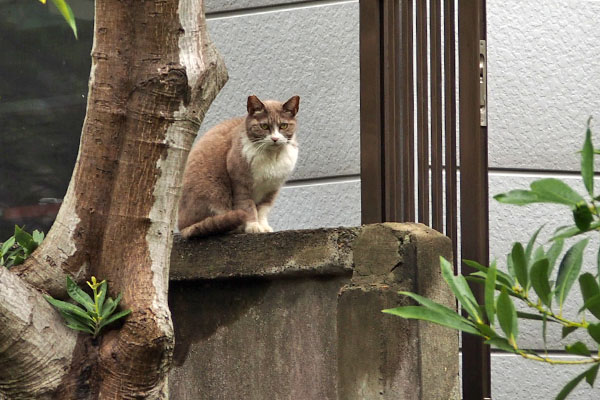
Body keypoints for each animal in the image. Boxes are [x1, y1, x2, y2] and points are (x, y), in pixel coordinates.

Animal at [177, 94, 300, 238]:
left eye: (284, 126)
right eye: (264, 126)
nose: (275, 139)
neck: (271, 158)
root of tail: (182, 226)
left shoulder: (272, 188)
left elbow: (263, 209)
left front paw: (263, 227)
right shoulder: (240, 183)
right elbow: (247, 205)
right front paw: (253, 226)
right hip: (213, 191)